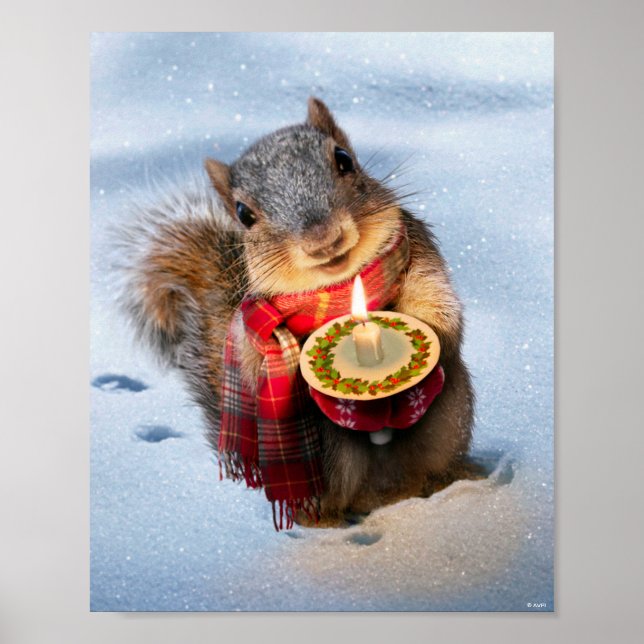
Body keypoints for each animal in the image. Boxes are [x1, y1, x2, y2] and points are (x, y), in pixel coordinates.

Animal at [119, 97, 475, 527]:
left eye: (344, 160)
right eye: (244, 213)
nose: (323, 239)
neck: (341, 289)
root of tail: (382, 489)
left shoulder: (420, 254)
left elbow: (437, 307)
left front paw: (426, 340)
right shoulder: (251, 328)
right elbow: (259, 372)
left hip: (451, 414)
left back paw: (449, 479)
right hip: (324, 455)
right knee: (327, 500)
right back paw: (327, 519)